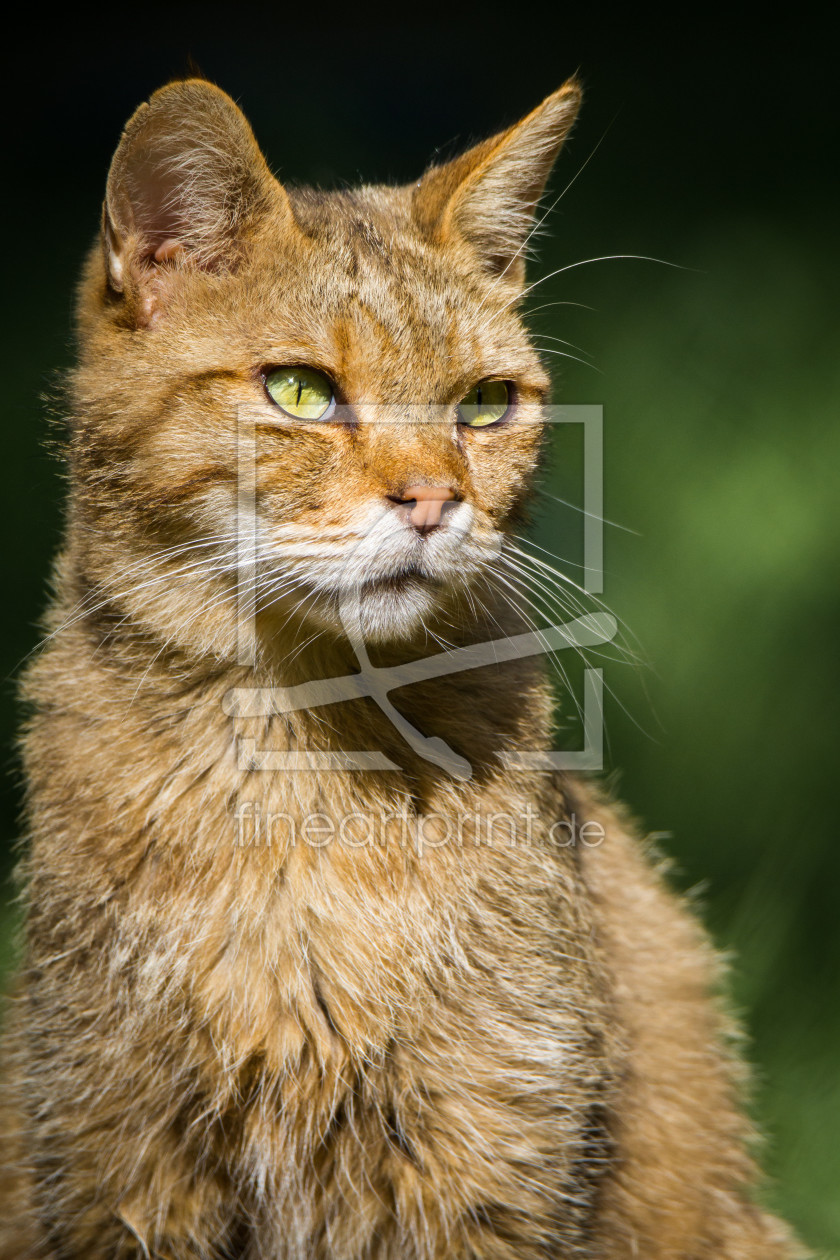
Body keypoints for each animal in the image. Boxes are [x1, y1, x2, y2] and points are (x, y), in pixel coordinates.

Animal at [0, 78, 800, 1260]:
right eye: (298, 390)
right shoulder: (115, 1176)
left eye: (484, 402)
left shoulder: (495, 1171)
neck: (297, 757)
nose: (433, 500)